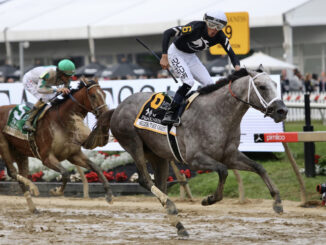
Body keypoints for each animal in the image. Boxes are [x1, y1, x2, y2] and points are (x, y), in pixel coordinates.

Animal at [0, 78, 112, 212]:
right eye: (93, 95)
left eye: (104, 95)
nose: (106, 114)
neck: (61, 122)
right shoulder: (46, 158)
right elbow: (65, 173)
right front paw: (57, 191)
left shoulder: (74, 154)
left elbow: (96, 167)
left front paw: (108, 195)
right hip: (4, 146)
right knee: (12, 172)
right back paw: (34, 188)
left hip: (19, 152)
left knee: (20, 174)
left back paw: (33, 207)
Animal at [83, 68, 288, 236]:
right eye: (262, 86)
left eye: (275, 84)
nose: (282, 111)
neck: (217, 114)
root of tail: (117, 108)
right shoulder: (195, 159)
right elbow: (223, 171)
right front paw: (209, 199)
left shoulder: (230, 155)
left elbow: (259, 167)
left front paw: (277, 202)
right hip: (133, 144)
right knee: (144, 180)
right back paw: (173, 210)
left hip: (157, 155)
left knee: (160, 184)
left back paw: (178, 224)